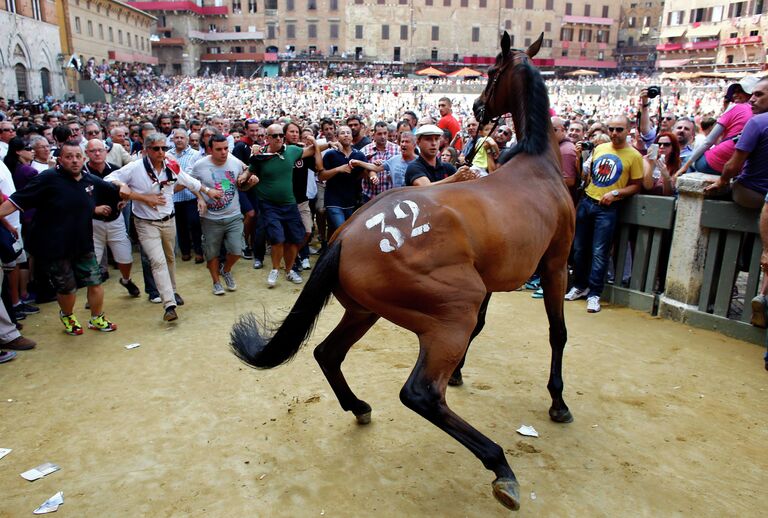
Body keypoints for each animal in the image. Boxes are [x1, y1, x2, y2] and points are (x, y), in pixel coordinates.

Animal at [231, 31, 572, 512]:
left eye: (488, 74)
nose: (476, 108)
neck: (537, 165)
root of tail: (346, 235)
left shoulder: (491, 280)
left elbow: (484, 327)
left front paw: (462, 370)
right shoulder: (556, 263)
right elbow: (557, 333)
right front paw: (558, 400)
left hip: (365, 310)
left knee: (327, 353)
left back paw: (358, 406)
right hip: (450, 310)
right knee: (420, 393)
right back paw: (499, 466)